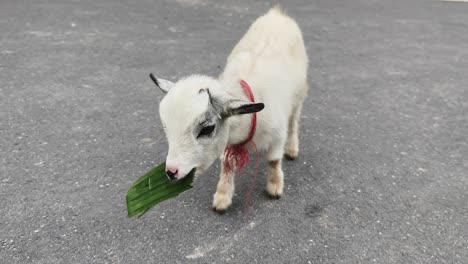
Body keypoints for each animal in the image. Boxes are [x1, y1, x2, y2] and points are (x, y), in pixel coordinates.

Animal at [152, 6, 308, 212]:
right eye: (165, 128)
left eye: (207, 129)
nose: (171, 172)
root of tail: (276, 13)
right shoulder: (228, 141)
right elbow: (227, 165)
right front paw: (222, 197)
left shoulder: (277, 136)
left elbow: (274, 161)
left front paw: (275, 187)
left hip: (299, 95)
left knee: (294, 121)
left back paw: (292, 149)